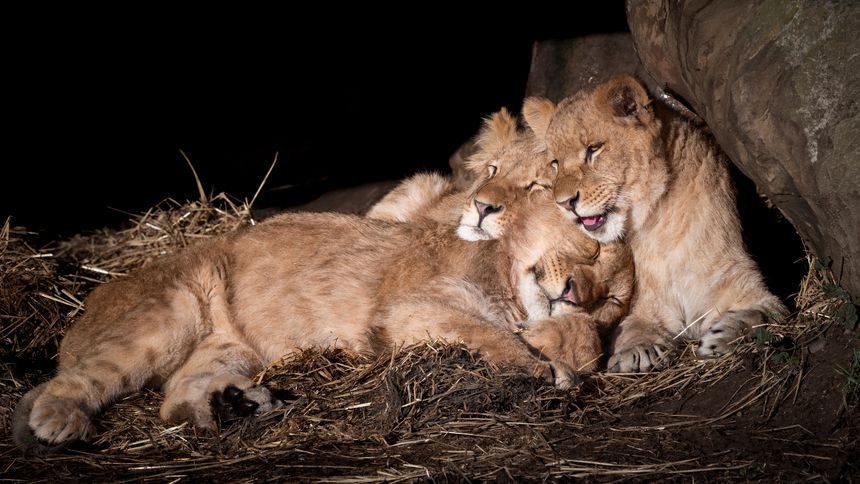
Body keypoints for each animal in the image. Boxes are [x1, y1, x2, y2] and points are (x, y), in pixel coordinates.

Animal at [523, 75, 787, 373]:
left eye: (593, 149)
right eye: (555, 163)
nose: (564, 202)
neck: (658, 224)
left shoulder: (745, 281)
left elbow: (760, 313)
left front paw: (721, 339)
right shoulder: (645, 303)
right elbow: (634, 326)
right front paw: (636, 351)